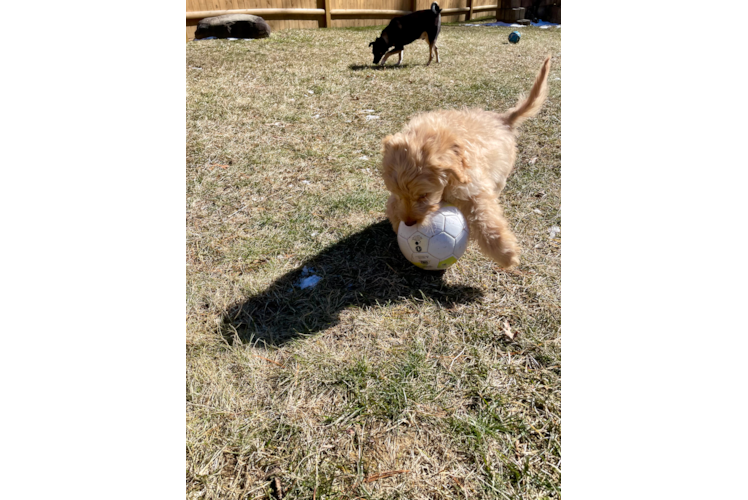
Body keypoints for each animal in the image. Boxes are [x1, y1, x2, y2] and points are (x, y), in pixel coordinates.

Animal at [380, 55, 548, 268]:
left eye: (424, 195)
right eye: (396, 193)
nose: (409, 223)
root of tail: (503, 119)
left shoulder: (474, 190)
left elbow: (486, 218)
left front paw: (505, 253)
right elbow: (392, 206)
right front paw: (396, 222)